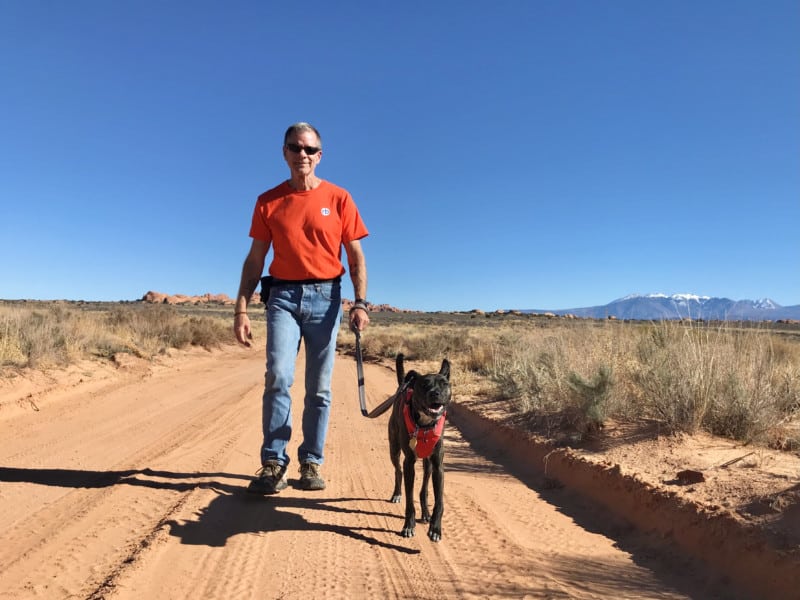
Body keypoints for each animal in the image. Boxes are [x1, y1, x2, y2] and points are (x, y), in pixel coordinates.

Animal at [386, 354, 450, 540]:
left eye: (444, 383)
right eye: (424, 384)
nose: (435, 393)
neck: (425, 425)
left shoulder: (438, 466)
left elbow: (439, 502)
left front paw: (435, 528)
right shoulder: (409, 463)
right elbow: (409, 500)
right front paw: (408, 525)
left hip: (428, 464)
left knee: (423, 490)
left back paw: (426, 513)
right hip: (394, 449)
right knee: (398, 470)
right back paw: (397, 494)